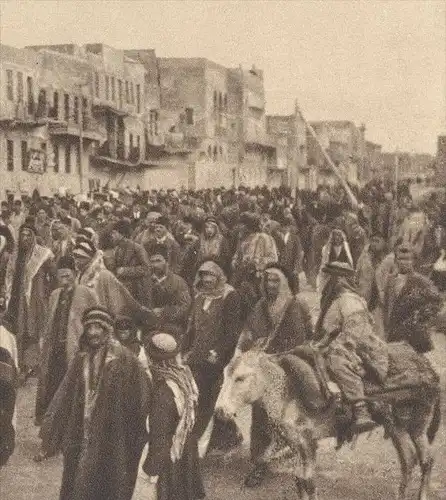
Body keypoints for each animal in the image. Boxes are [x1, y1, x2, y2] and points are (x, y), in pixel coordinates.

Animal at [214, 348, 440, 500]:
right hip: (402, 427)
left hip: (411, 424)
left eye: (241, 378)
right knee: (414, 460)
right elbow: (299, 480)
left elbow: (308, 481)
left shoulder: (307, 442)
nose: (219, 411)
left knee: (421, 460)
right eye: (224, 375)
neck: (289, 391)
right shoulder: (298, 444)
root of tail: (427, 367)